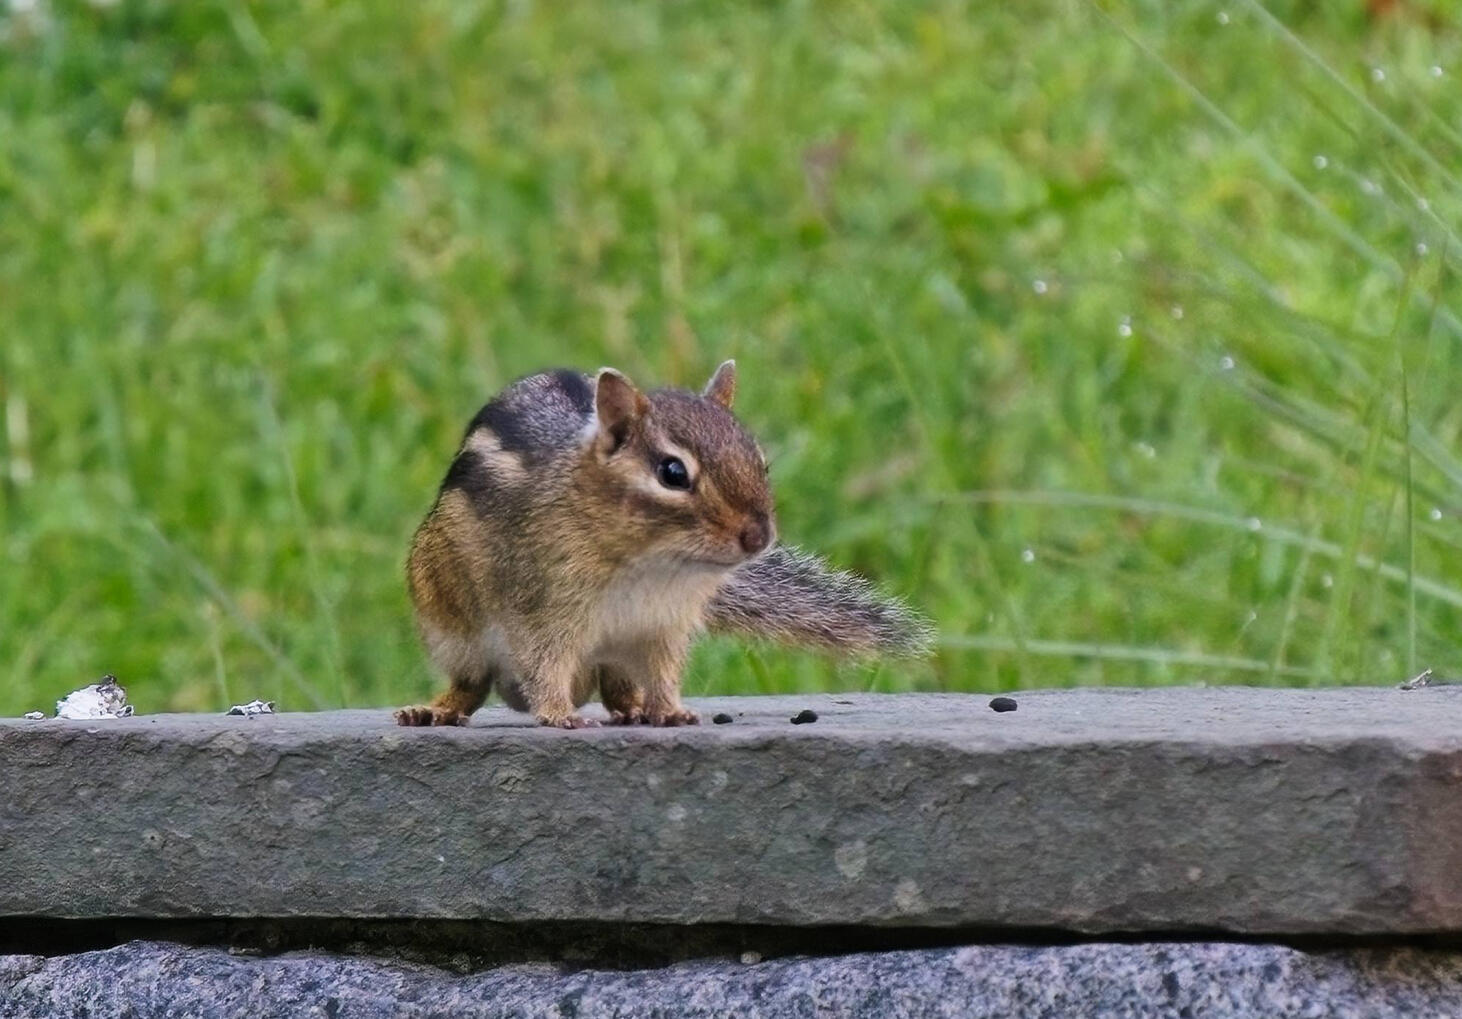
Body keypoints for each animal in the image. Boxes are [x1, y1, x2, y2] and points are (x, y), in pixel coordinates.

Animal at [395, 361, 931, 729]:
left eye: (758, 461)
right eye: (673, 473)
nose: (758, 536)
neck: (654, 565)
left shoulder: (665, 625)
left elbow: (663, 672)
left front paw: (671, 710)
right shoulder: (540, 607)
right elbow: (544, 663)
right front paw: (557, 713)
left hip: (614, 655)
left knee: (616, 685)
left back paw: (633, 709)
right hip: (451, 626)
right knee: (470, 684)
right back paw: (434, 710)